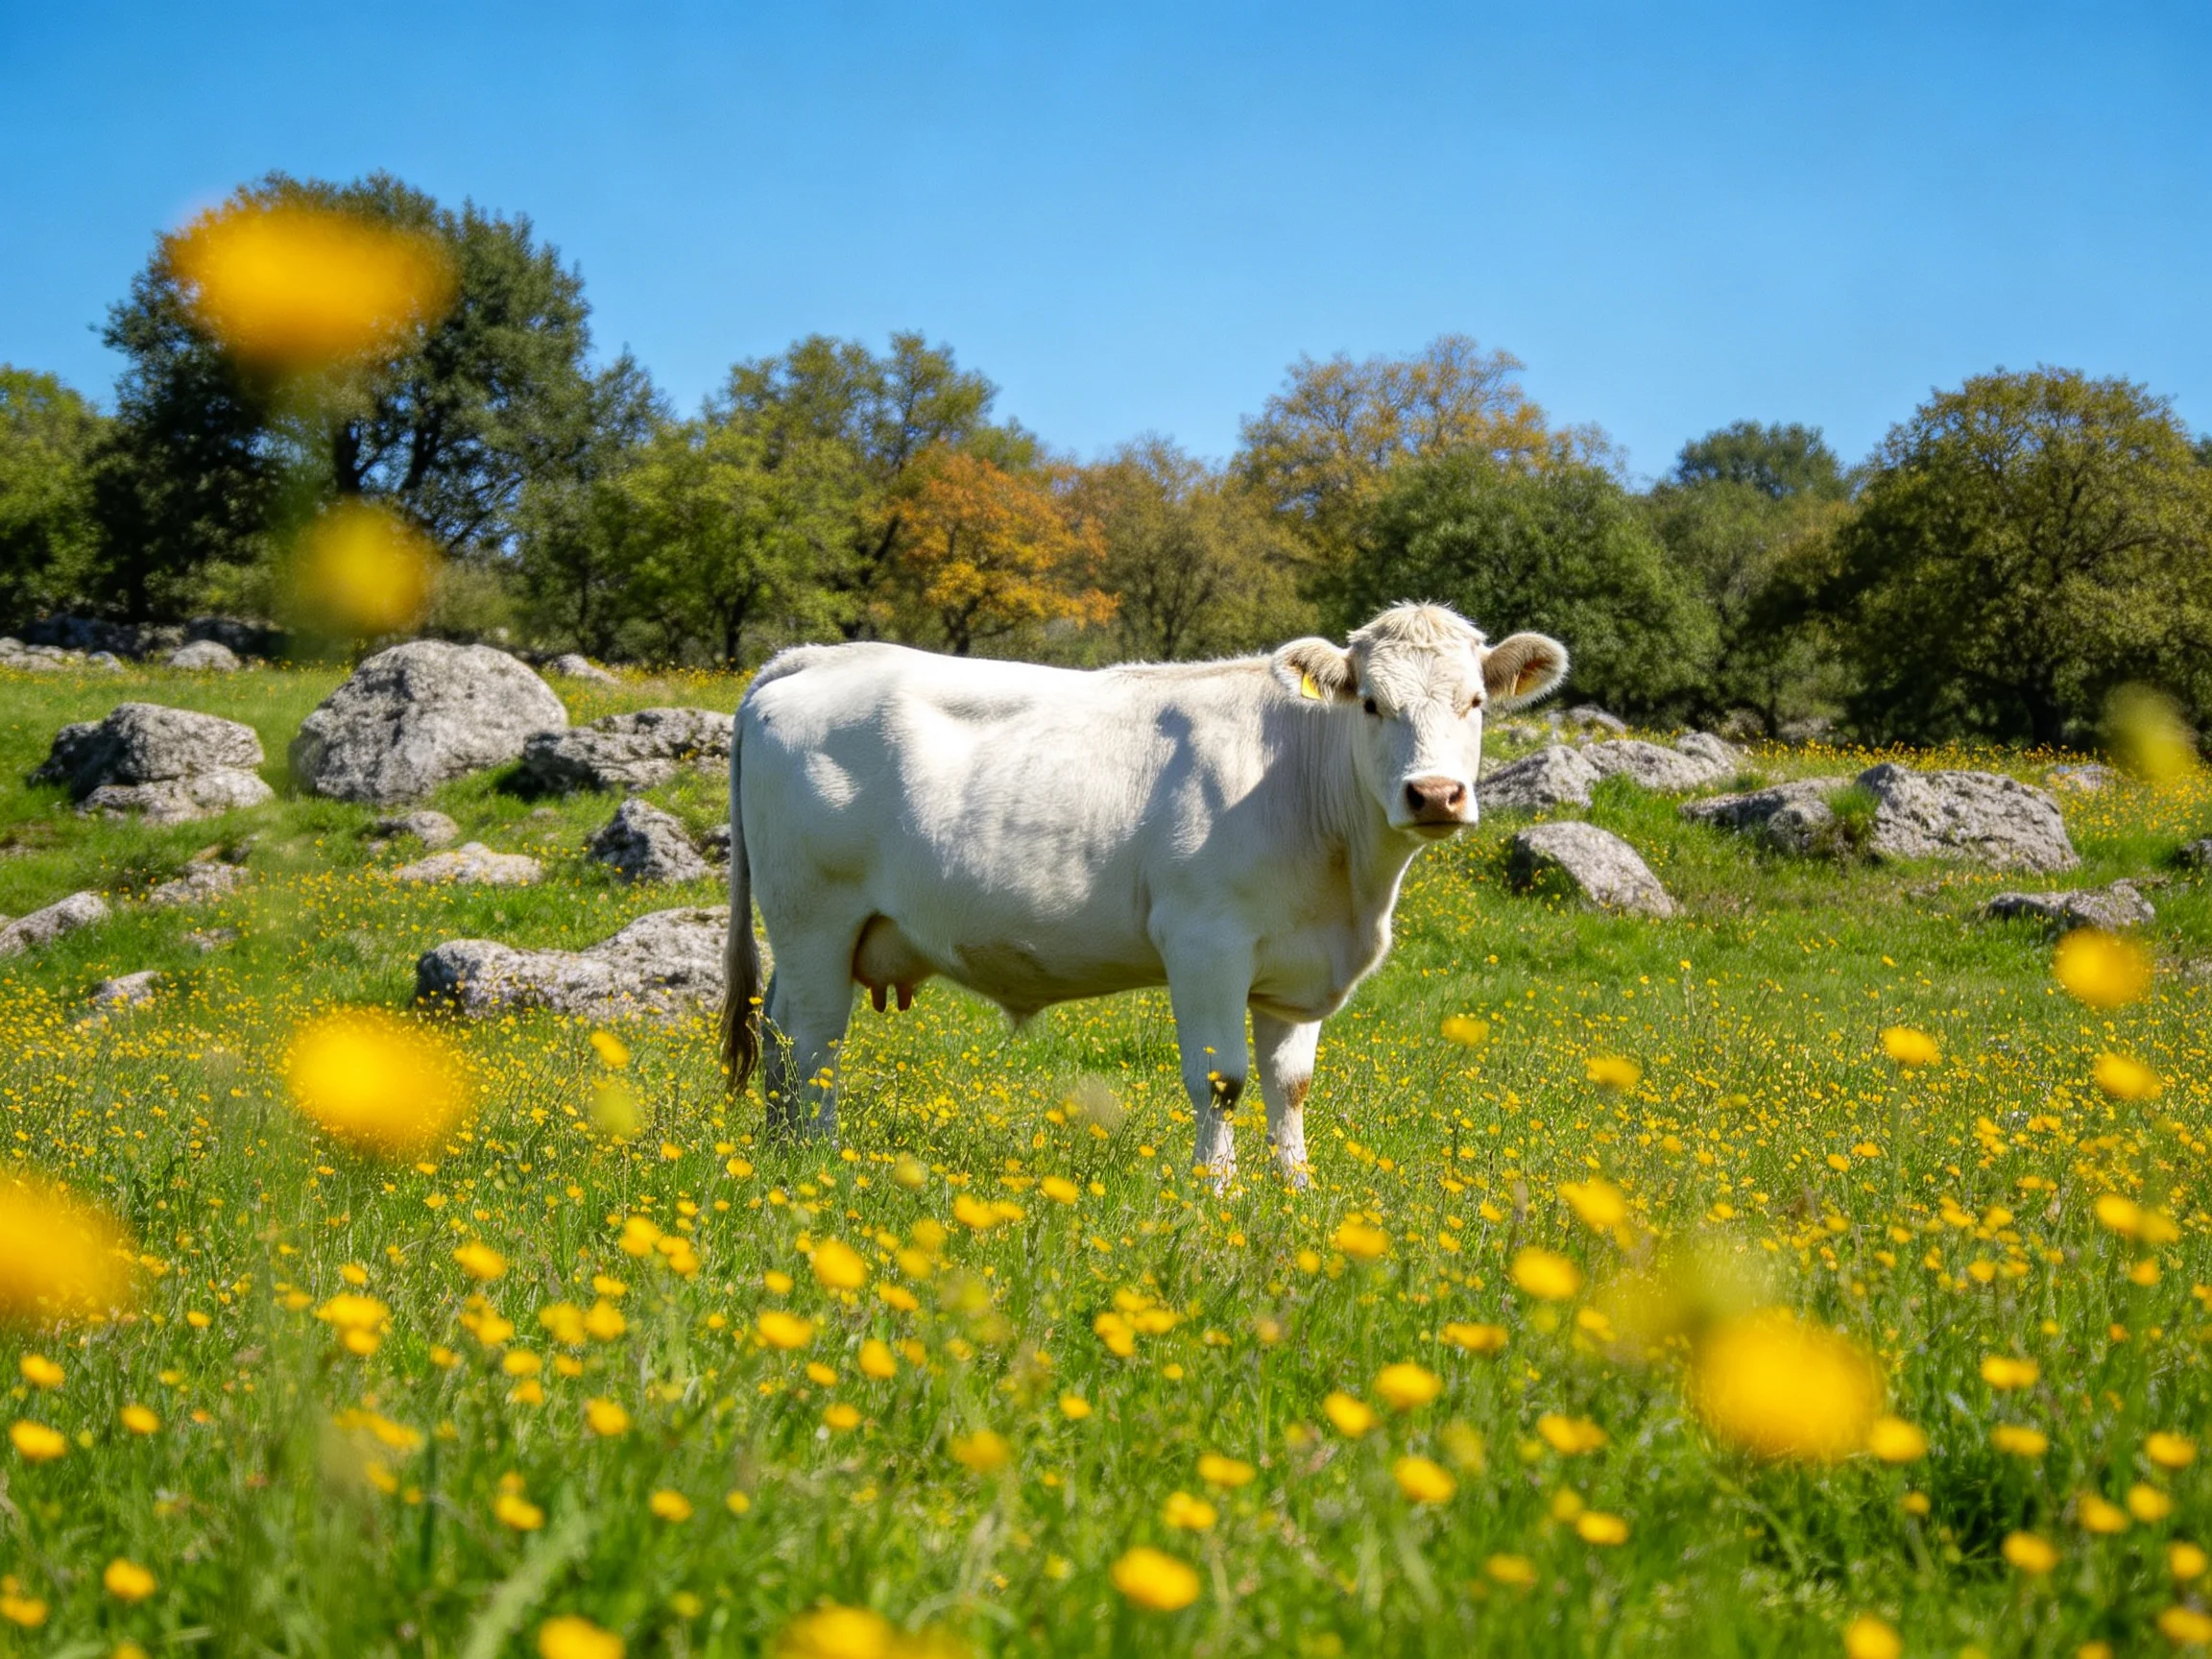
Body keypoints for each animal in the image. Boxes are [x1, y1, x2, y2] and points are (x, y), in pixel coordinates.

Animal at [720, 603, 1567, 1182]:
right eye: (1371, 703)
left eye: (1475, 702)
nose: (1435, 795)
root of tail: (814, 659)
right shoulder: (1204, 943)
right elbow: (1222, 1081)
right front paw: (1218, 1193)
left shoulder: (1297, 967)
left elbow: (1290, 1086)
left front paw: (1296, 1194)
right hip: (815, 917)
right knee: (813, 1040)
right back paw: (818, 1160)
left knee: (782, 1031)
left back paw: (778, 1149)